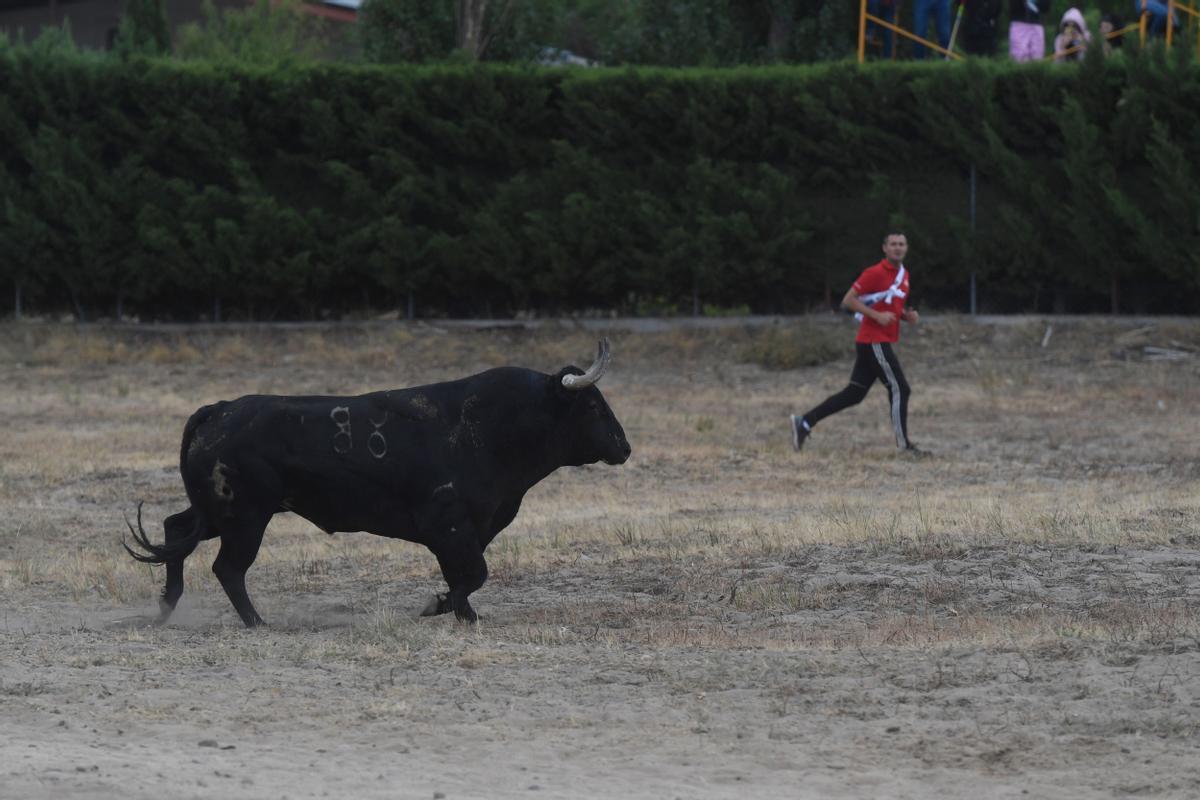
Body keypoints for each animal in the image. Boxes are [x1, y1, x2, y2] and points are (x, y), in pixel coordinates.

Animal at [125, 338, 633, 623]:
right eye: (592, 405)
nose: (624, 447)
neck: (493, 427)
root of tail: (220, 409)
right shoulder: (449, 527)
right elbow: (474, 574)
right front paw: (440, 608)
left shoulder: (469, 530)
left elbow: (466, 576)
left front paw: (459, 612)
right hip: (245, 517)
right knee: (228, 568)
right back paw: (256, 622)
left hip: (216, 513)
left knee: (175, 529)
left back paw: (166, 609)